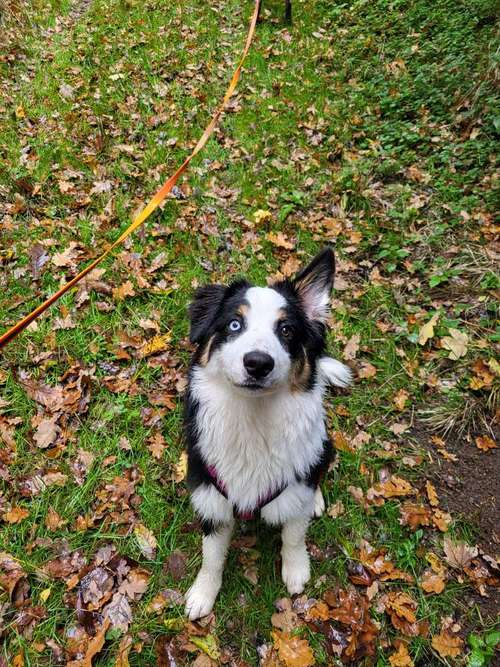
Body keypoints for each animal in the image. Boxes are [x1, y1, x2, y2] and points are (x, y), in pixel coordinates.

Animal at [182, 249, 350, 620]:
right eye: (234, 325)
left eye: (286, 330)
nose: (258, 363)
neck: (253, 420)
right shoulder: (211, 498)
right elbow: (211, 556)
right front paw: (203, 593)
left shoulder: (295, 493)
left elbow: (293, 535)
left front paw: (296, 570)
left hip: (325, 444)